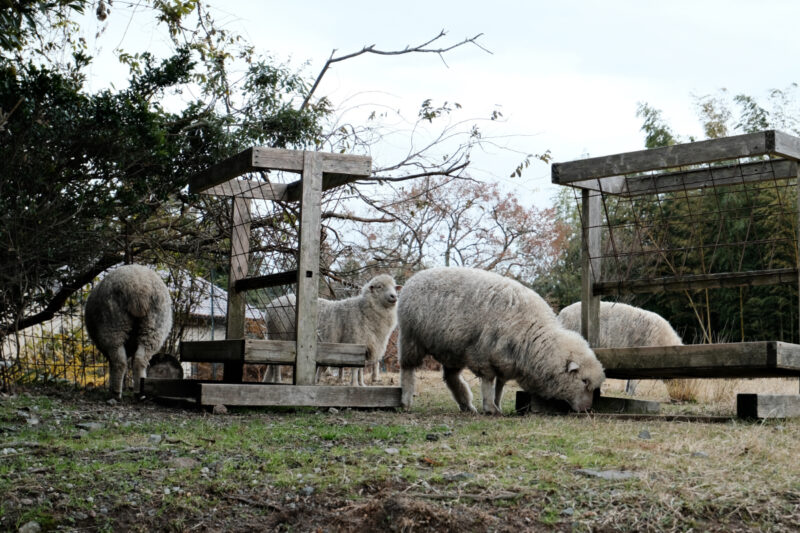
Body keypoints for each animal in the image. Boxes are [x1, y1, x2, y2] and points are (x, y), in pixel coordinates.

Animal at [84, 264, 172, 396]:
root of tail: (139, 287)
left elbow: (111, 364)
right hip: (154, 327)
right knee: (140, 360)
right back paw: (139, 392)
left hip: (113, 326)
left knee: (119, 362)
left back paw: (115, 392)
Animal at [396, 268, 604, 414]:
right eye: (584, 381)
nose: (587, 409)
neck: (534, 336)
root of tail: (414, 278)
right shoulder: (482, 355)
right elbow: (488, 382)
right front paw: (490, 407)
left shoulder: (506, 361)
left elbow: (500, 386)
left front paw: (497, 404)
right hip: (410, 338)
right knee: (407, 368)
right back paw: (406, 400)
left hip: (452, 349)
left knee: (451, 377)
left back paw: (466, 404)